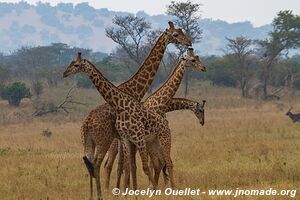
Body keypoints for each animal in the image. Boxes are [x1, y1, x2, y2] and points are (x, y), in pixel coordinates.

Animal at [62, 52, 178, 200]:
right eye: (71, 63)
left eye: (76, 64)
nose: (64, 73)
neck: (120, 104)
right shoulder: (126, 138)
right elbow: (129, 166)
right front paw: (130, 192)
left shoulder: (136, 138)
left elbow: (136, 166)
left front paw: (134, 192)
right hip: (110, 142)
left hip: (159, 140)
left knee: (166, 162)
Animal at [105, 47, 206, 189]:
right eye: (193, 60)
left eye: (198, 57)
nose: (203, 67)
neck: (162, 103)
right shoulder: (149, 138)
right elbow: (155, 163)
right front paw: (155, 185)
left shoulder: (152, 138)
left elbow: (158, 162)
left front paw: (160, 184)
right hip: (118, 142)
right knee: (112, 163)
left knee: (120, 164)